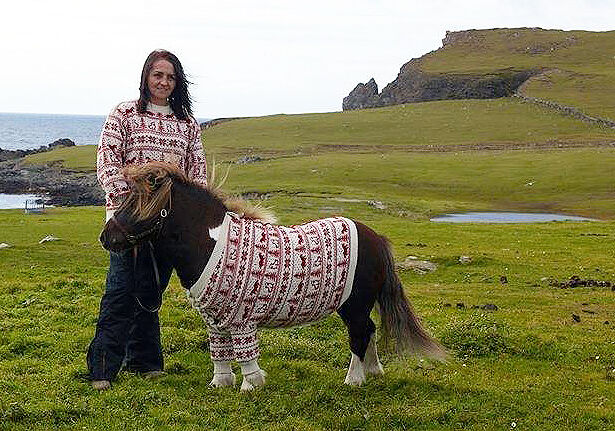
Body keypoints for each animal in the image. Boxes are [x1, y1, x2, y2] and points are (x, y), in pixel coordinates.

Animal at [101, 162, 448, 392]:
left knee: (360, 335)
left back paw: (354, 379)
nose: (106, 238)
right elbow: (220, 352)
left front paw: (251, 385)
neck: (211, 241)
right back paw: (374, 371)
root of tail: (375, 237)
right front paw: (220, 383)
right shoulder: (215, 318)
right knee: (370, 332)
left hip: (355, 306)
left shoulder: (240, 319)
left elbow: (245, 353)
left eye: (137, 203)